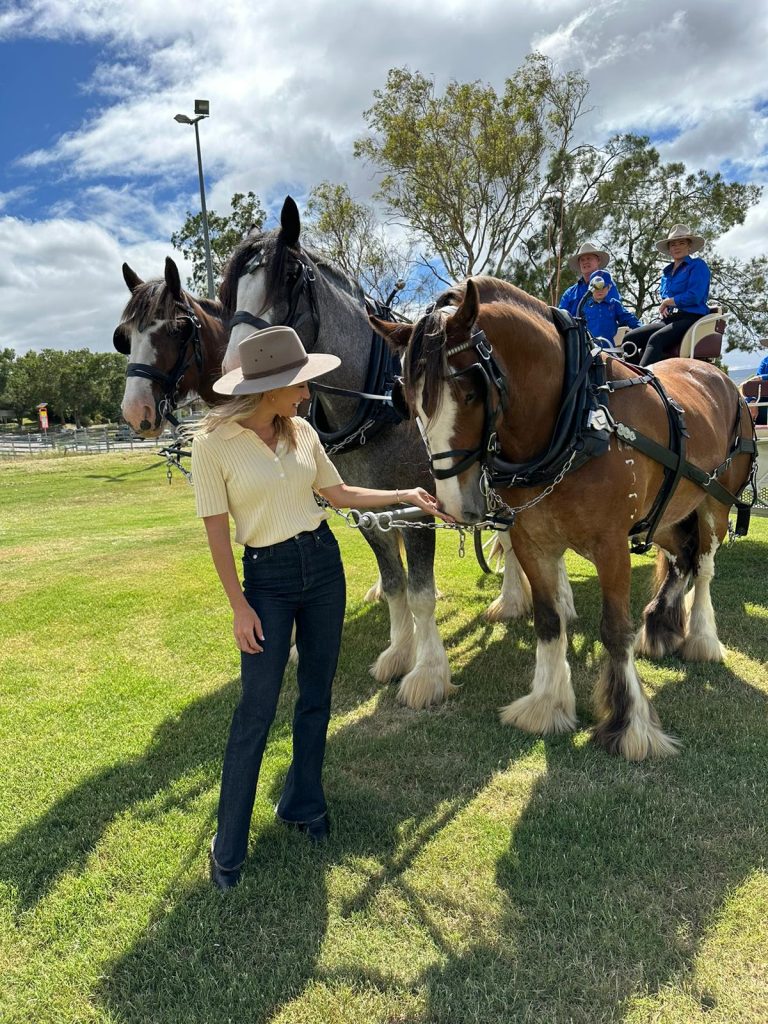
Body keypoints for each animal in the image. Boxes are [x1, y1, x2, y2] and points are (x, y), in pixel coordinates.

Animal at [372, 278, 757, 761]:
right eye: (410, 403)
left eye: (472, 393)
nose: (455, 506)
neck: (576, 420)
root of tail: (721, 379)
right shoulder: (531, 540)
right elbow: (548, 620)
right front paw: (547, 704)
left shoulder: (611, 545)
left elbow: (614, 630)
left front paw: (630, 725)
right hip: (670, 512)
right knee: (681, 559)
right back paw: (662, 628)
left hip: (713, 504)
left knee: (703, 567)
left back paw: (702, 640)